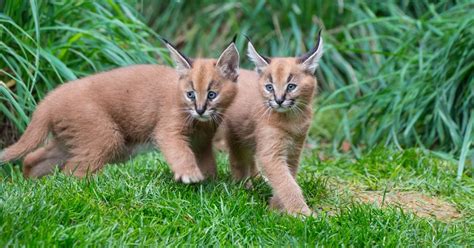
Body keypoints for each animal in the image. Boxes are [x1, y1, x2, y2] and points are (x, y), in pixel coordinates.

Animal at [0, 38, 239, 182]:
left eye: (212, 94)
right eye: (190, 94)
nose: (200, 109)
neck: (200, 123)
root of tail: (49, 99)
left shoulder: (202, 142)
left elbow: (208, 162)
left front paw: (210, 182)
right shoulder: (168, 131)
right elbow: (180, 151)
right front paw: (190, 175)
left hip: (69, 140)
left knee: (34, 158)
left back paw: (32, 182)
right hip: (106, 137)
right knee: (71, 173)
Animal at [224, 31, 324, 215]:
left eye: (291, 86)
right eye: (269, 87)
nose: (278, 100)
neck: (292, 118)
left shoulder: (294, 150)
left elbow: (289, 177)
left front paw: (277, 208)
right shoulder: (272, 153)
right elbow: (287, 184)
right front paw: (302, 213)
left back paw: (258, 180)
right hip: (235, 135)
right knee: (238, 159)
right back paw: (243, 186)